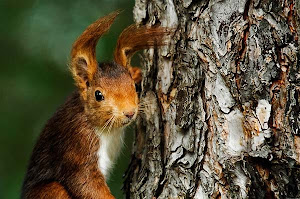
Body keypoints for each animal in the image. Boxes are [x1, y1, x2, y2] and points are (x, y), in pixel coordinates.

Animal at [21, 11, 171, 199]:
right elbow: (85, 183)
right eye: (98, 95)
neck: (108, 130)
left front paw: (136, 72)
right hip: (51, 191)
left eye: (135, 87)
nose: (129, 112)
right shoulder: (78, 145)